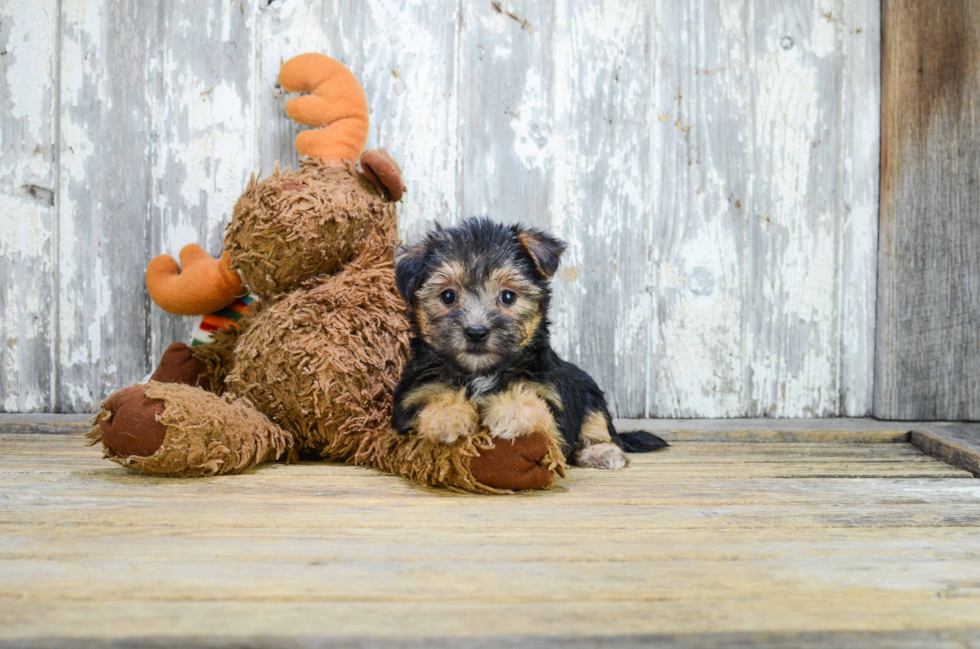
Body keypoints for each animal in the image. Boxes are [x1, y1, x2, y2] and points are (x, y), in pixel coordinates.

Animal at [390, 216, 668, 466]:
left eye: (508, 296)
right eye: (448, 296)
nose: (477, 331)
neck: (481, 373)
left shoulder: (550, 397)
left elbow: (534, 405)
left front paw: (508, 411)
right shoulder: (412, 394)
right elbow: (432, 398)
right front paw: (449, 415)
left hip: (589, 391)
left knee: (599, 427)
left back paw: (601, 452)